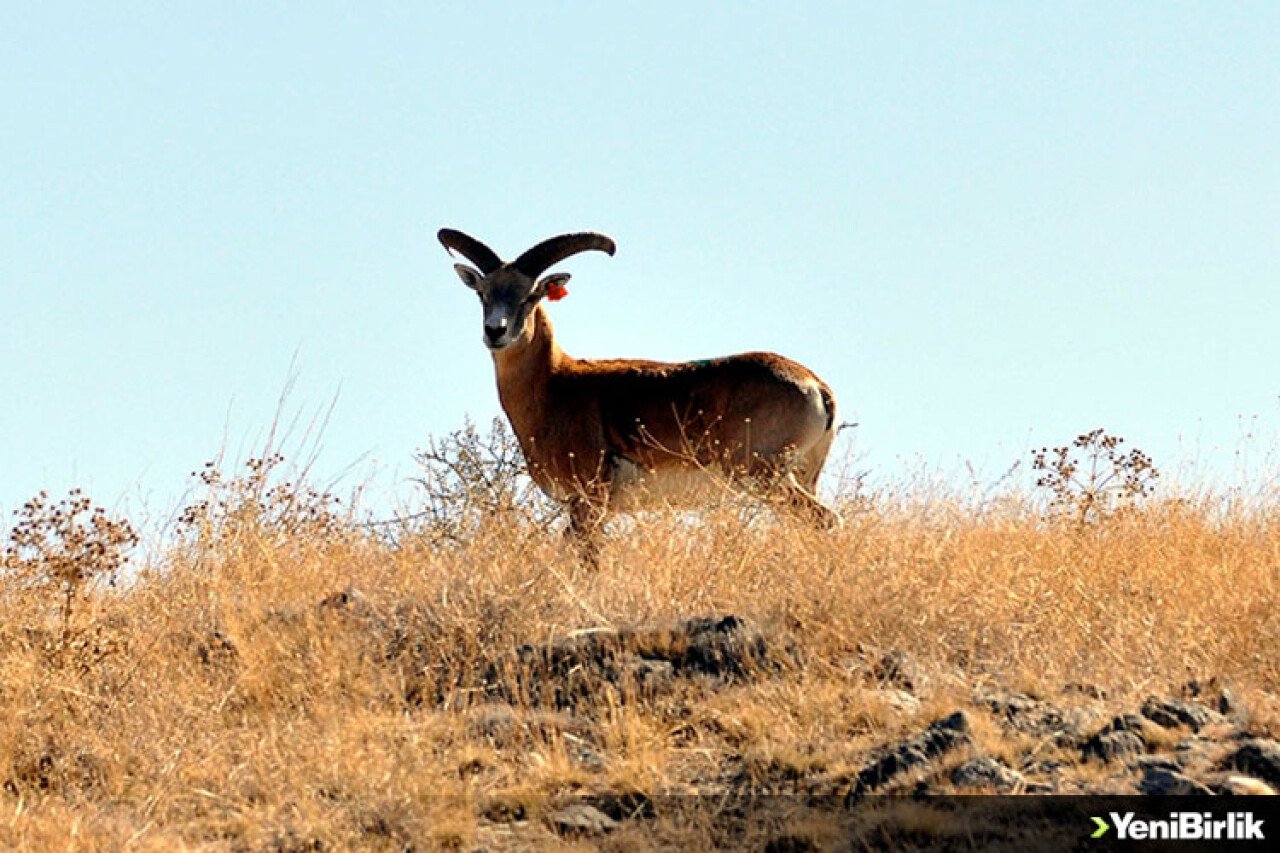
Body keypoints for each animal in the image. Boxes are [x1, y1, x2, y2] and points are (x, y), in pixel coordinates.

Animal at [440, 227, 839, 558]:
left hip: (766, 476)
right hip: (801, 477)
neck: (554, 386)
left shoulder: (590, 502)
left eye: (529, 295)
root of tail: (816, 387)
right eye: (483, 294)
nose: (495, 330)